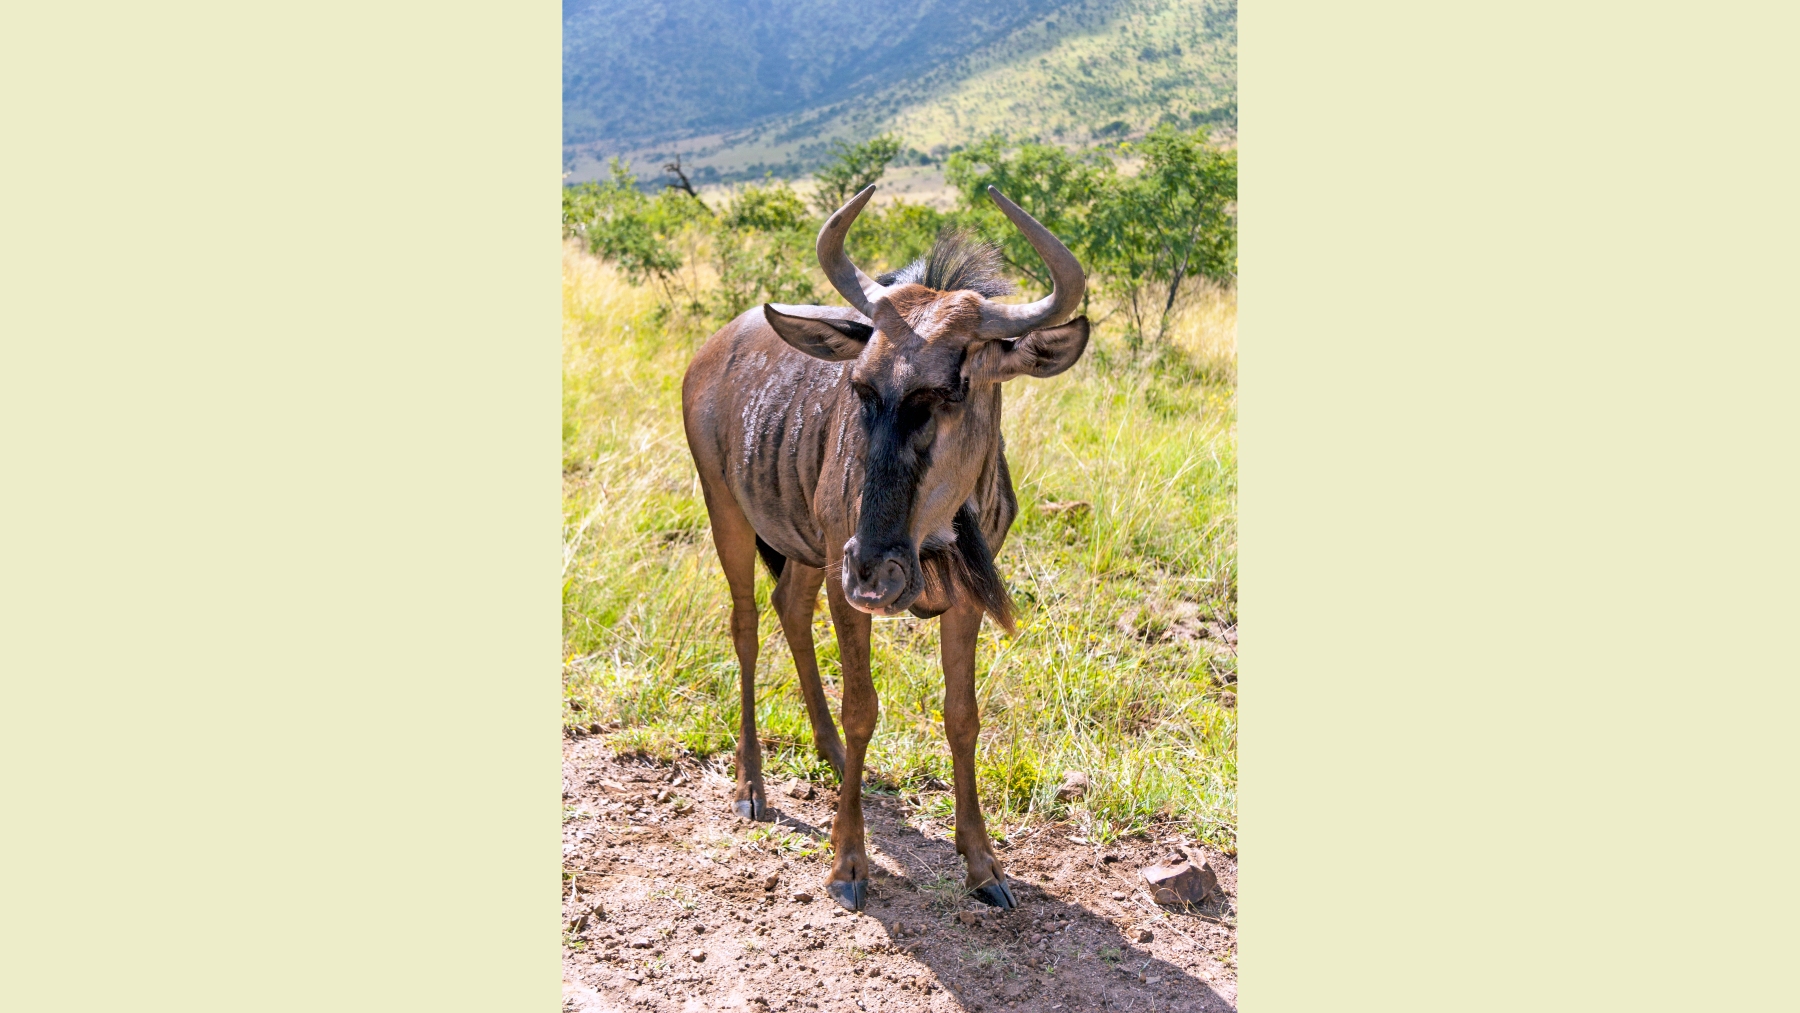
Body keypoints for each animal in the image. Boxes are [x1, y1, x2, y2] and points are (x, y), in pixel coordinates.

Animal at [681, 185, 1089, 911]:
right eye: (860, 386)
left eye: (952, 391)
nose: (876, 570)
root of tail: (712, 348)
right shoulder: (849, 593)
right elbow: (864, 706)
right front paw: (848, 860)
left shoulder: (963, 601)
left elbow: (962, 716)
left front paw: (983, 864)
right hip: (730, 513)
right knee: (746, 624)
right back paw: (751, 785)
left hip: (809, 550)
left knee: (788, 606)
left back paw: (834, 756)